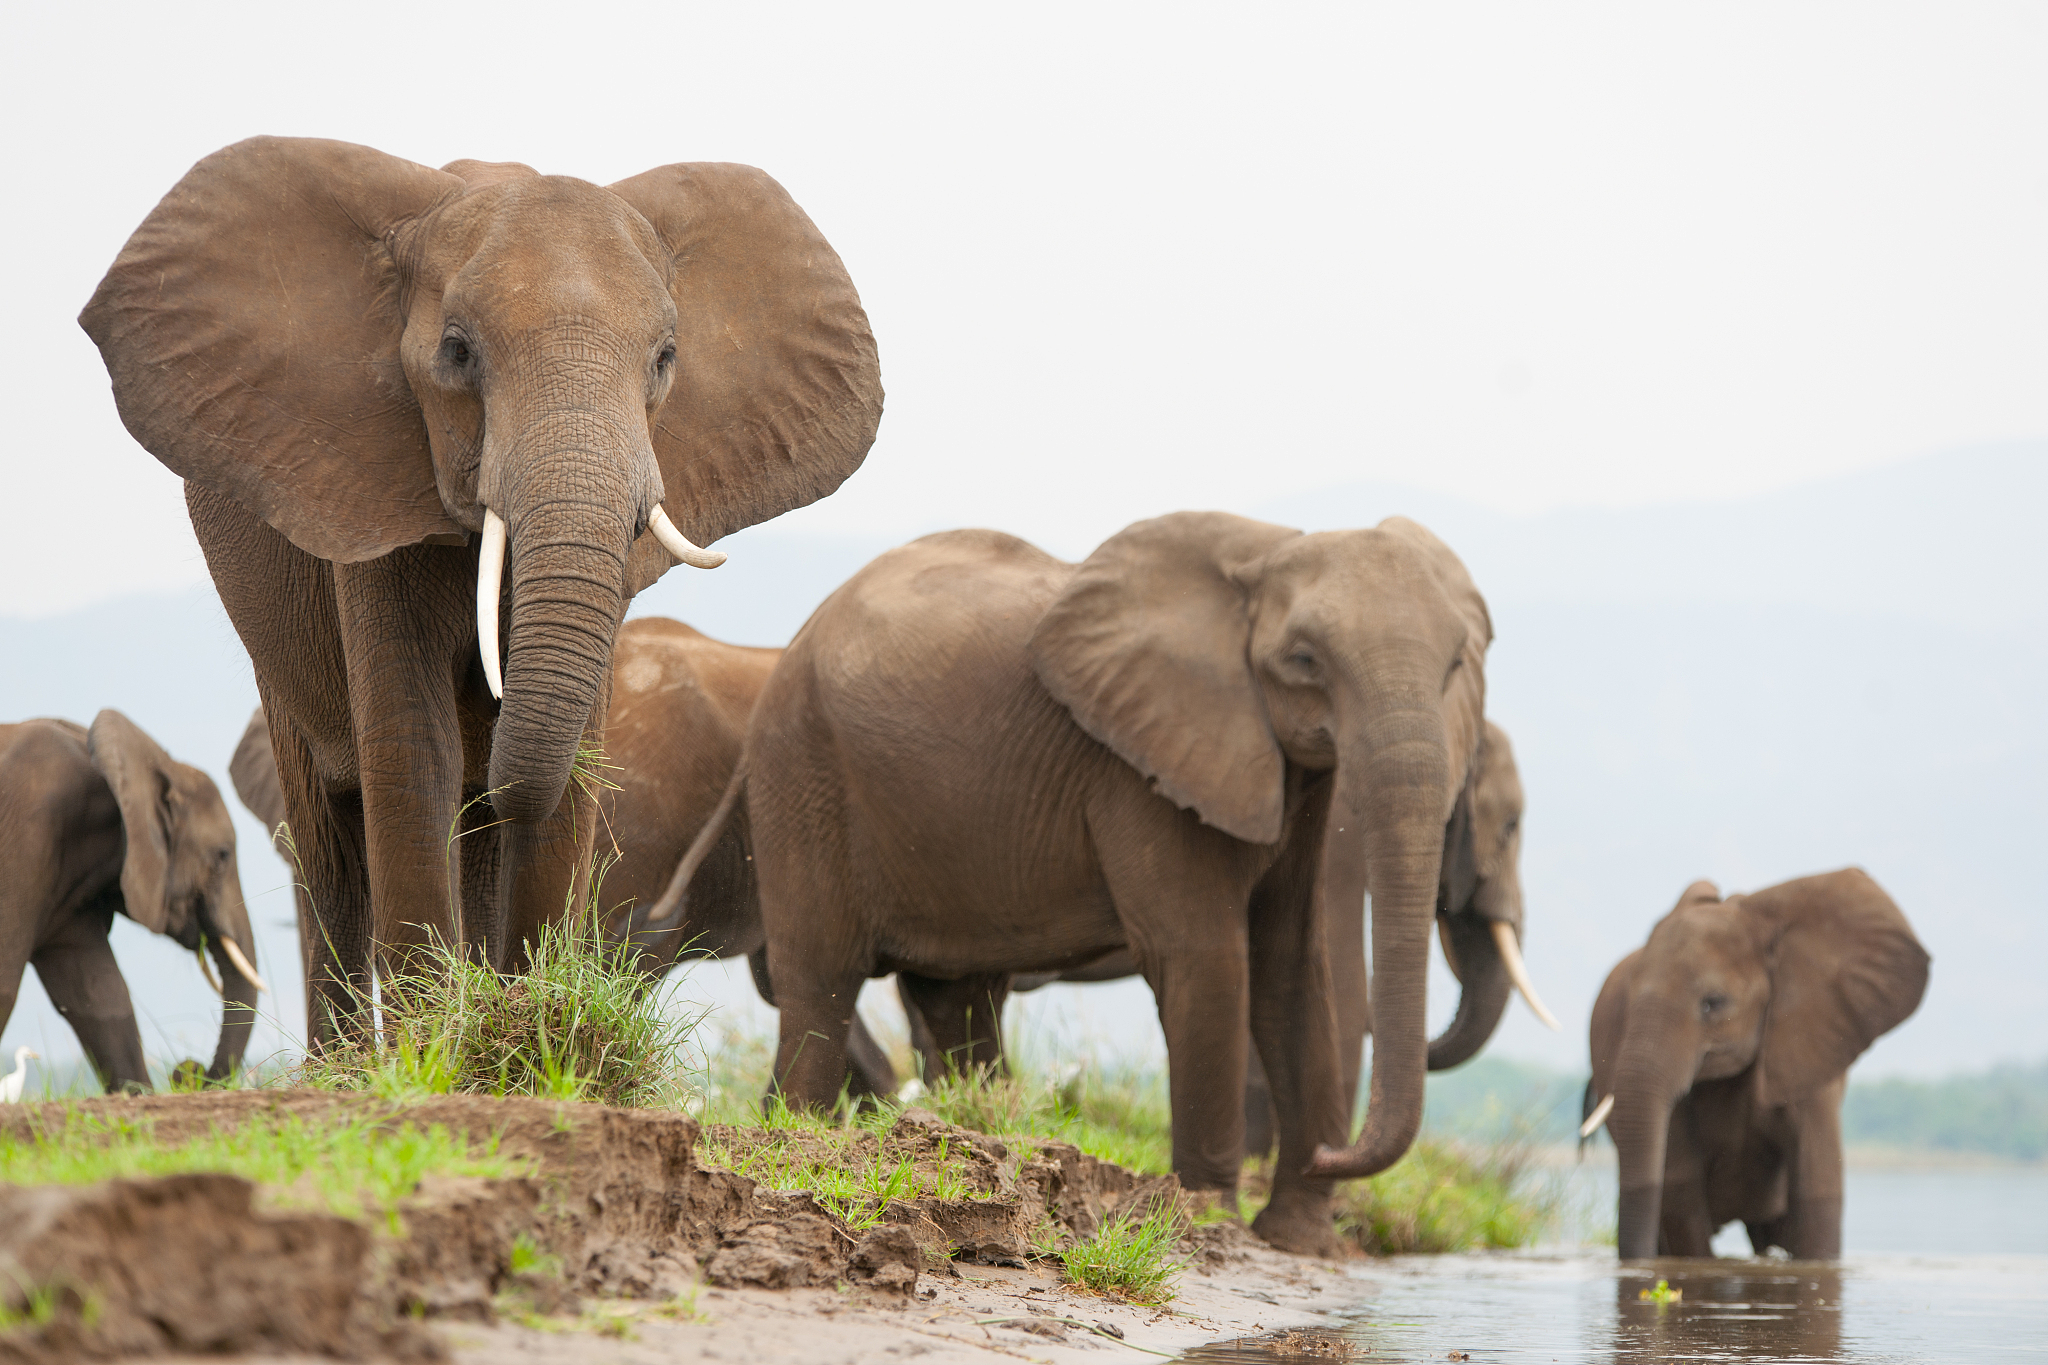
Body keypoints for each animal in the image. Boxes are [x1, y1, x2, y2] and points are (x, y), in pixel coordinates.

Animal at [0, 711, 267, 1092]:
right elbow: (6, 985)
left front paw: (136, 1096)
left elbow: (101, 998)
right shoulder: (24, 841)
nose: (187, 1070)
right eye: (222, 856)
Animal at [81, 137, 881, 1046]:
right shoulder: (371, 486)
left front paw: (535, 1036)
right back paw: (350, 1061)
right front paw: (437, 1051)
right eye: (458, 353)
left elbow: (566, 767)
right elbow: (413, 748)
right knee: (333, 843)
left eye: (664, 360)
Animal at [702, 512, 1492, 1253]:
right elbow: (1204, 957)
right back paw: (797, 1134)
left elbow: (1292, 965)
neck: (1262, 557)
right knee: (822, 980)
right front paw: (1212, 1218)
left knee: (957, 998)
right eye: (1303, 659)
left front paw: (1301, 1239)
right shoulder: (1141, 768)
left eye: (1457, 663)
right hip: (802, 770)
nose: (1333, 1151)